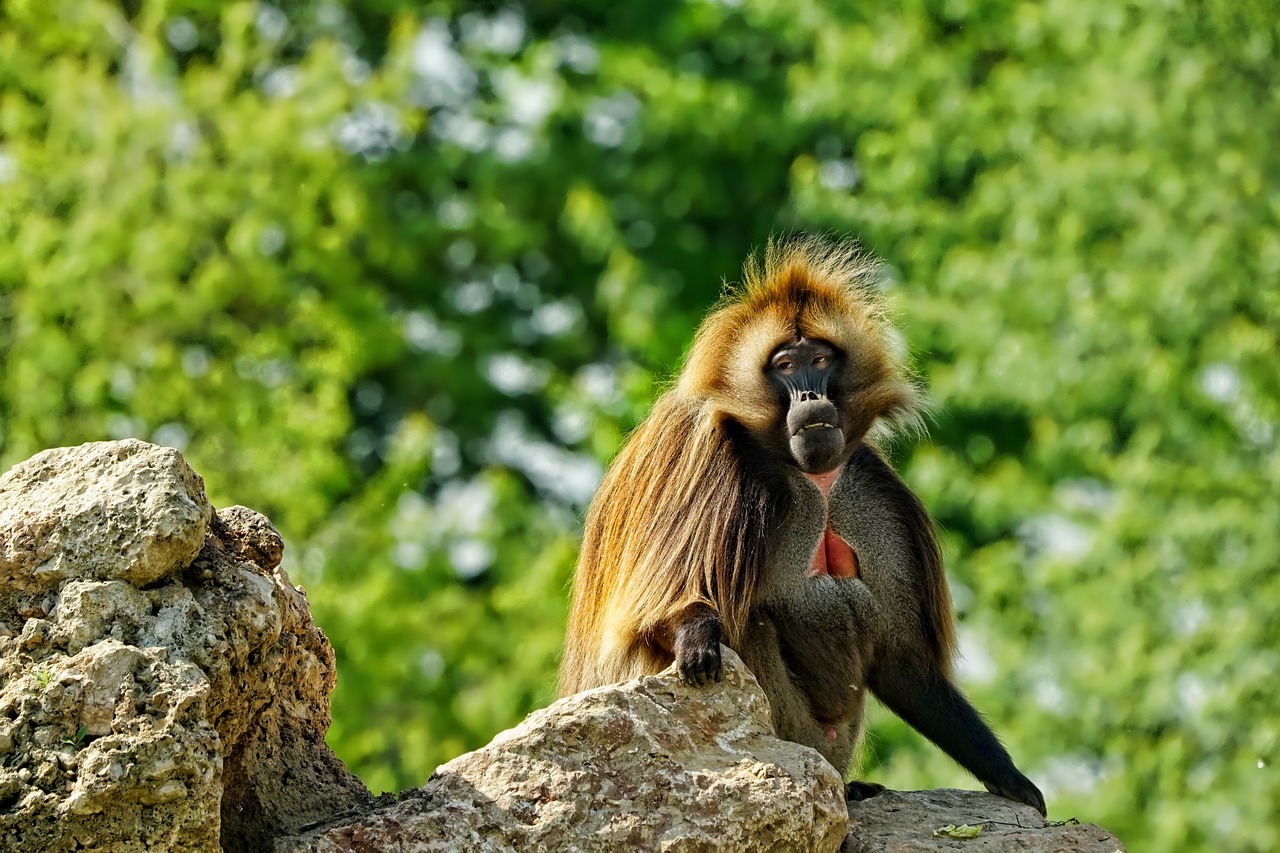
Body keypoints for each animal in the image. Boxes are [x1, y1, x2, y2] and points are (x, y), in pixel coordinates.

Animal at [565, 236, 1044, 809]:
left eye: (819, 360)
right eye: (784, 365)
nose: (810, 397)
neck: (804, 472)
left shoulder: (871, 487)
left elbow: (903, 661)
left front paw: (1010, 778)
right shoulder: (698, 454)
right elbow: (652, 616)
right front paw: (692, 632)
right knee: (748, 619)